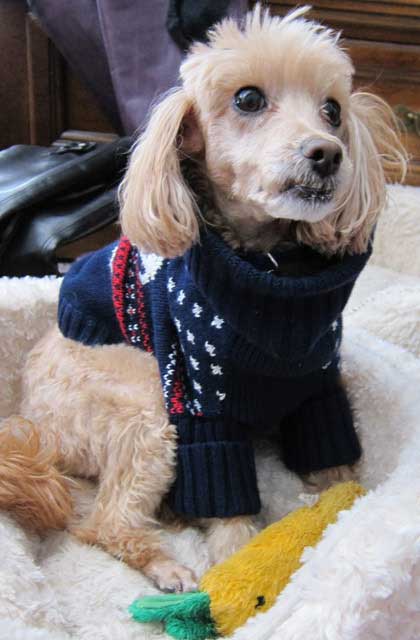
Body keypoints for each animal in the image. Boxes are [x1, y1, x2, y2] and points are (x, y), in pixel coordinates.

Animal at [0, 6, 406, 596]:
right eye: (248, 99)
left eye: (332, 110)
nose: (328, 154)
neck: (269, 275)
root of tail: (32, 425)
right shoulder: (201, 404)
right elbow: (227, 503)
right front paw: (237, 568)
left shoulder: (318, 388)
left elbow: (337, 471)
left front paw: (346, 516)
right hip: (145, 400)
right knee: (102, 523)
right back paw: (166, 565)